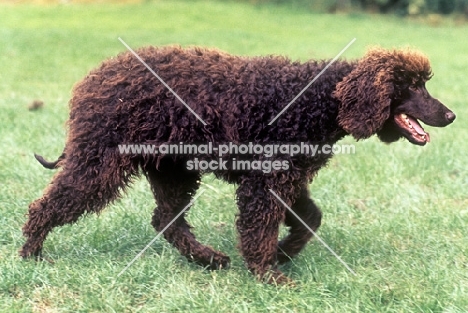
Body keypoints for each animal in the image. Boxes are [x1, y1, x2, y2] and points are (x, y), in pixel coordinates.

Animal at [21, 45, 454, 282]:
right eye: (412, 86)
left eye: (424, 84)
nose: (450, 115)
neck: (319, 100)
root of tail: (92, 79)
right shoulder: (264, 183)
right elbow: (260, 230)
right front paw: (269, 275)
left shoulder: (287, 177)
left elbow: (310, 219)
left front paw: (284, 253)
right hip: (100, 162)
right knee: (48, 205)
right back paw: (31, 254)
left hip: (172, 169)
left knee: (166, 221)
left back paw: (208, 259)